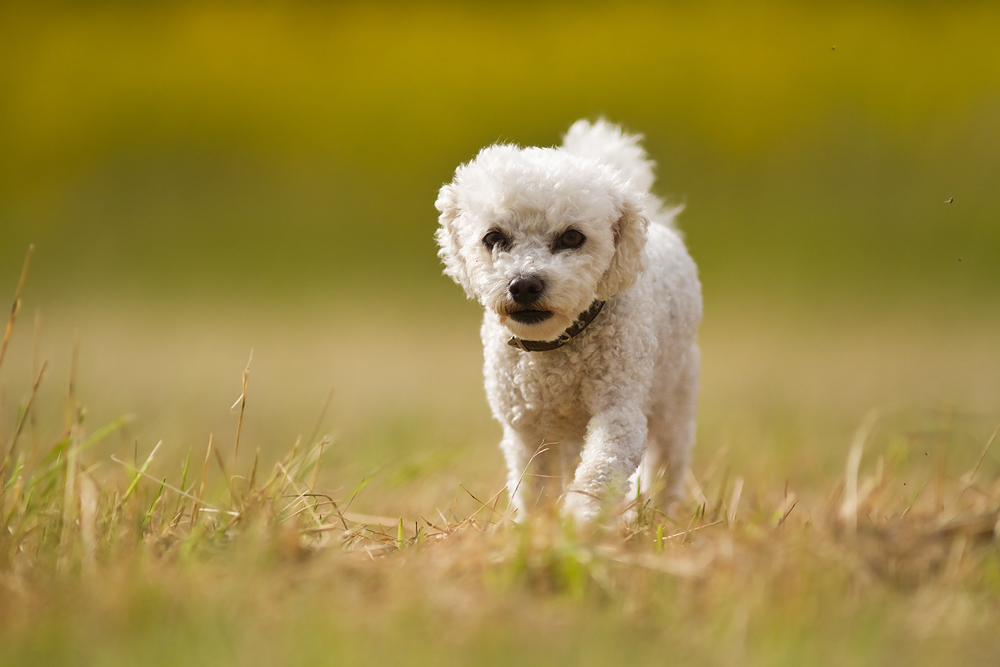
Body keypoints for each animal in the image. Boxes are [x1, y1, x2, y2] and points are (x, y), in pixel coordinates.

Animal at [434, 121, 700, 528]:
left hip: (675, 399)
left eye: (572, 236)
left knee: (668, 464)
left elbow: (598, 472)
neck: (554, 347)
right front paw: (536, 528)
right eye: (493, 237)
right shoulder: (526, 430)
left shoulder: (619, 414)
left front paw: (579, 520)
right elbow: (533, 485)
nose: (524, 284)